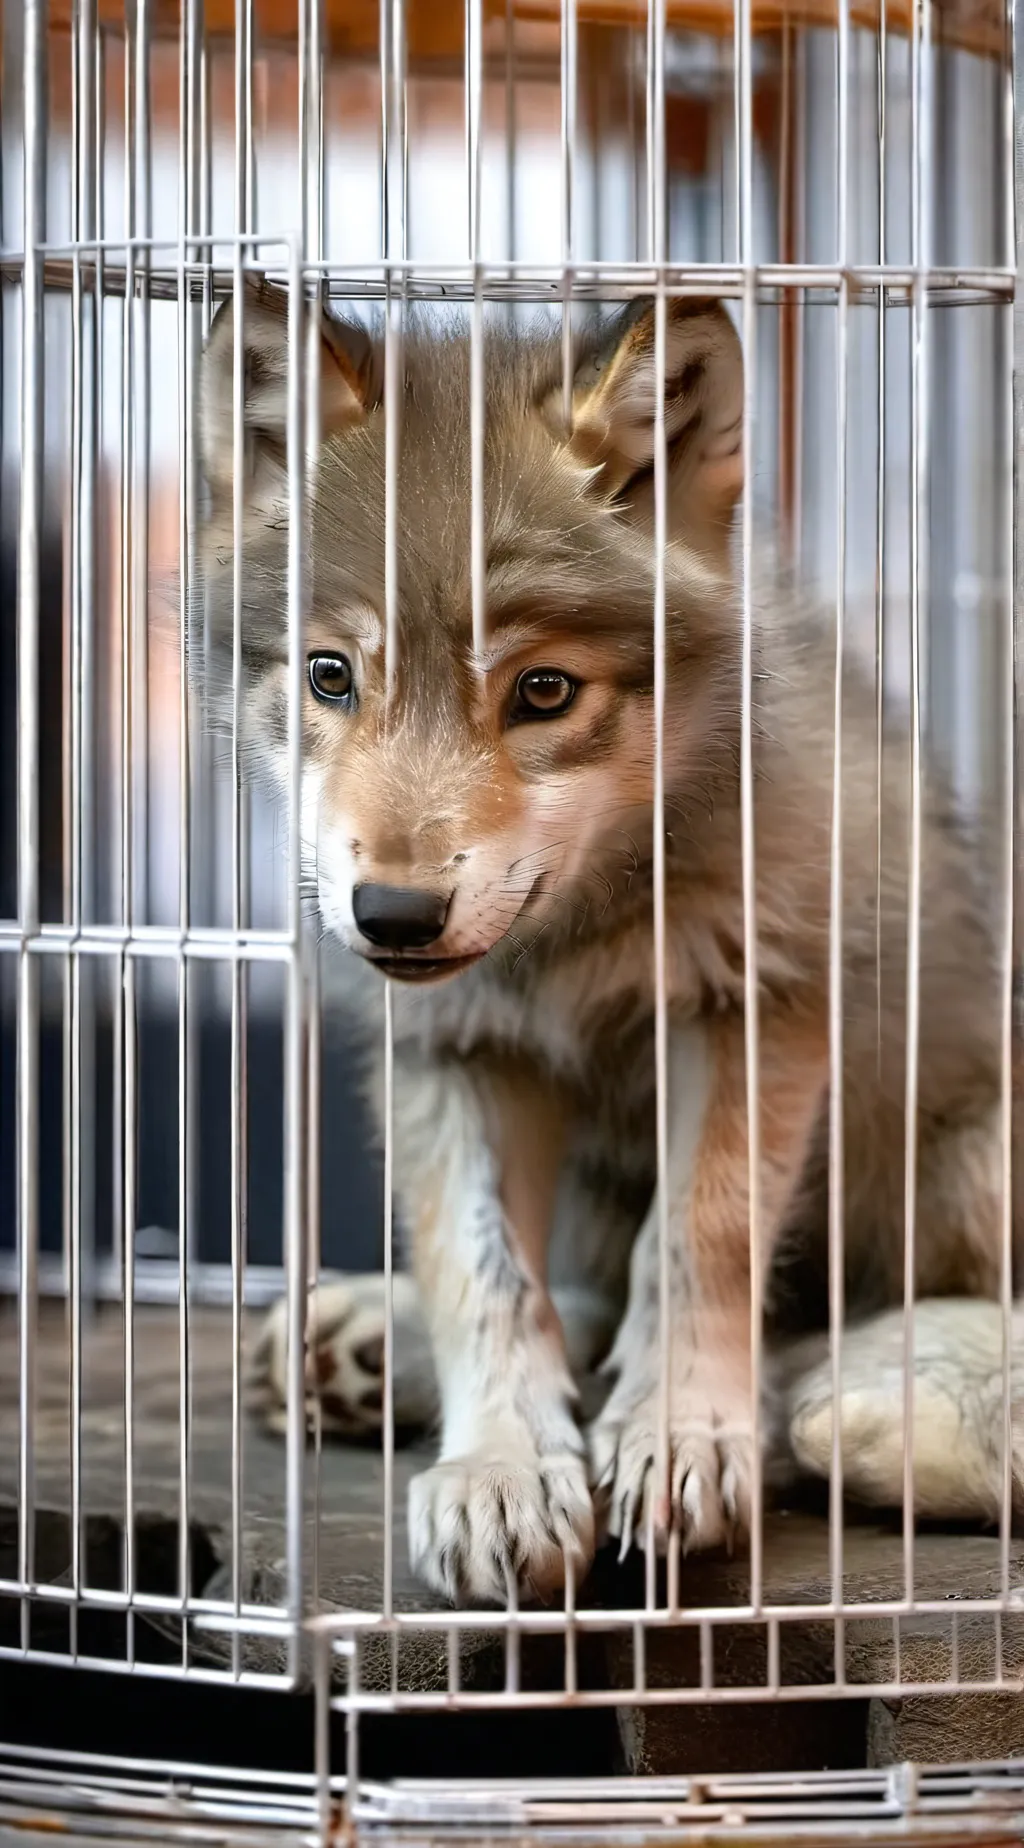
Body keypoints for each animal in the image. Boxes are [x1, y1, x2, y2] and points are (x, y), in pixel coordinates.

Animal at [199, 279, 1019, 1605]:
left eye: (543, 693)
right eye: (329, 677)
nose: (394, 915)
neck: (572, 945)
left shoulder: (758, 1008)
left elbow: (695, 1245)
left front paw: (681, 1432)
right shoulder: (454, 1052)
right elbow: (486, 1275)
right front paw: (502, 1466)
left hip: (961, 1161)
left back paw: (854, 1401)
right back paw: (368, 1344)